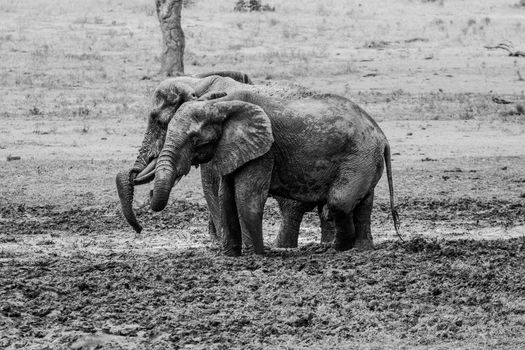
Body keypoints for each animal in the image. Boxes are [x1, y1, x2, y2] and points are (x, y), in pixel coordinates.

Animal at [116, 70, 334, 246]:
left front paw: (221, 242)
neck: (197, 82)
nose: (139, 229)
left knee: (292, 208)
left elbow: (212, 186)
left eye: (159, 122)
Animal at [145, 89, 400, 256]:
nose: (149, 195)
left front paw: (259, 255)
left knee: (338, 203)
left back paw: (338, 249)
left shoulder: (264, 151)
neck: (221, 104)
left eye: (195, 139)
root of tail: (381, 134)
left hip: (359, 156)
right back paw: (361, 249)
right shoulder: (233, 148)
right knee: (362, 203)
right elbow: (226, 197)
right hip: (365, 159)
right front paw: (231, 255)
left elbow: (247, 198)